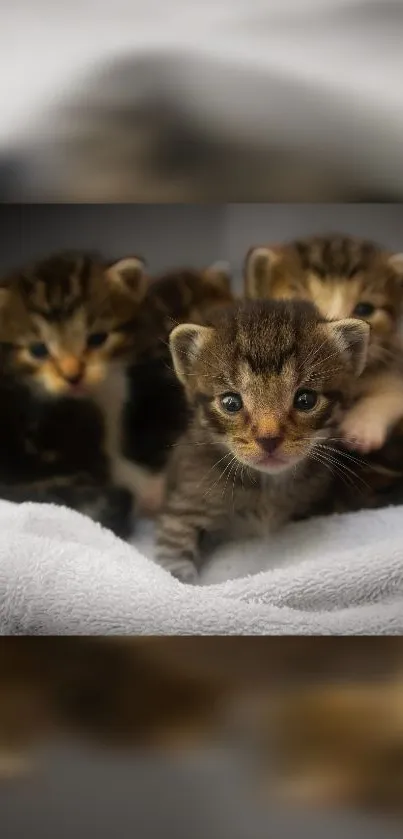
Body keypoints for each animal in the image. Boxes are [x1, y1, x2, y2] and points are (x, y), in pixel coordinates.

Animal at [155, 300, 370, 584]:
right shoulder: (185, 506)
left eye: (306, 400)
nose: (269, 439)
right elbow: (173, 557)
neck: (267, 488)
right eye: (231, 402)